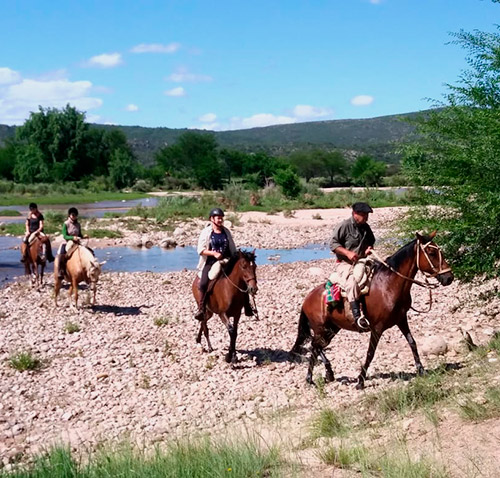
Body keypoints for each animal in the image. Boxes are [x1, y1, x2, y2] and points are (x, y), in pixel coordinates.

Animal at [292, 231, 456, 388]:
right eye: (431, 252)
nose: (449, 277)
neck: (389, 285)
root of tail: (307, 298)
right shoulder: (377, 328)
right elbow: (370, 353)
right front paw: (360, 381)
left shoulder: (401, 320)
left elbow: (412, 343)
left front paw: (421, 370)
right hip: (320, 328)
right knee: (314, 346)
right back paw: (315, 376)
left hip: (332, 329)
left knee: (316, 347)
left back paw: (321, 375)